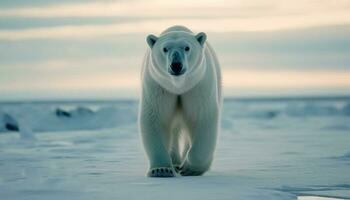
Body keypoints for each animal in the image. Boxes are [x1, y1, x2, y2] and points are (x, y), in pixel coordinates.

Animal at [139, 25, 221, 177]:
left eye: (187, 47)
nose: (176, 65)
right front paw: (160, 169)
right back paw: (175, 162)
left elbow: (202, 118)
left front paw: (190, 168)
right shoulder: (158, 87)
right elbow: (156, 118)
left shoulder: (197, 87)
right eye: (165, 49)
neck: (178, 85)